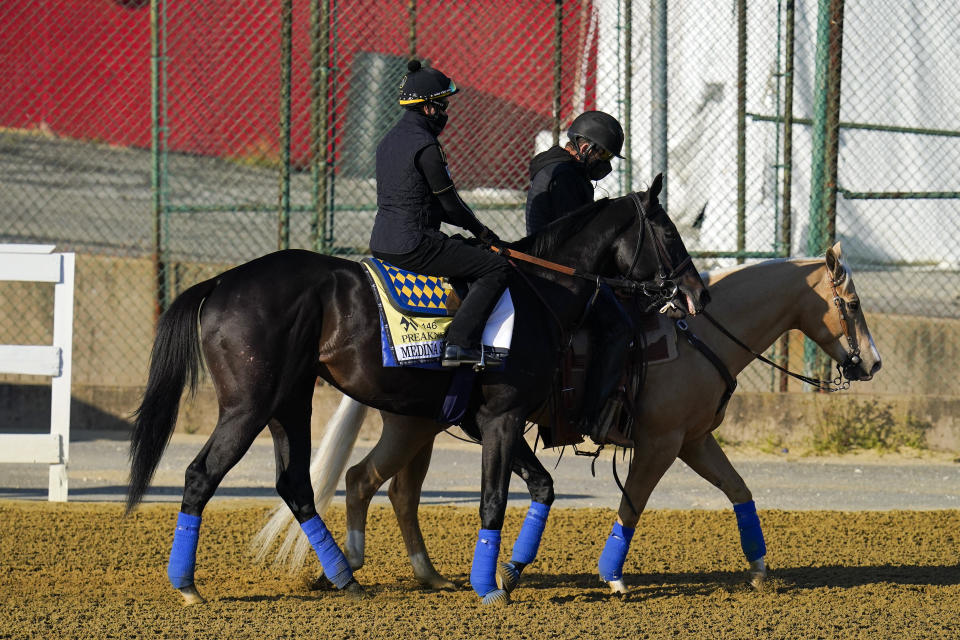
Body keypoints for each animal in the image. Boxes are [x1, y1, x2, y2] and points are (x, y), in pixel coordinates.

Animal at [125, 175, 712, 604]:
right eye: (669, 233)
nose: (696, 293)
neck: (540, 290)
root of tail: (223, 280)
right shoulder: (501, 418)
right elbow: (493, 500)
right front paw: (489, 587)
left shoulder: (495, 419)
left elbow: (542, 487)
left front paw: (512, 570)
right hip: (248, 407)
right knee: (202, 476)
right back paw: (188, 586)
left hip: (288, 405)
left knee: (298, 485)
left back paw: (345, 578)